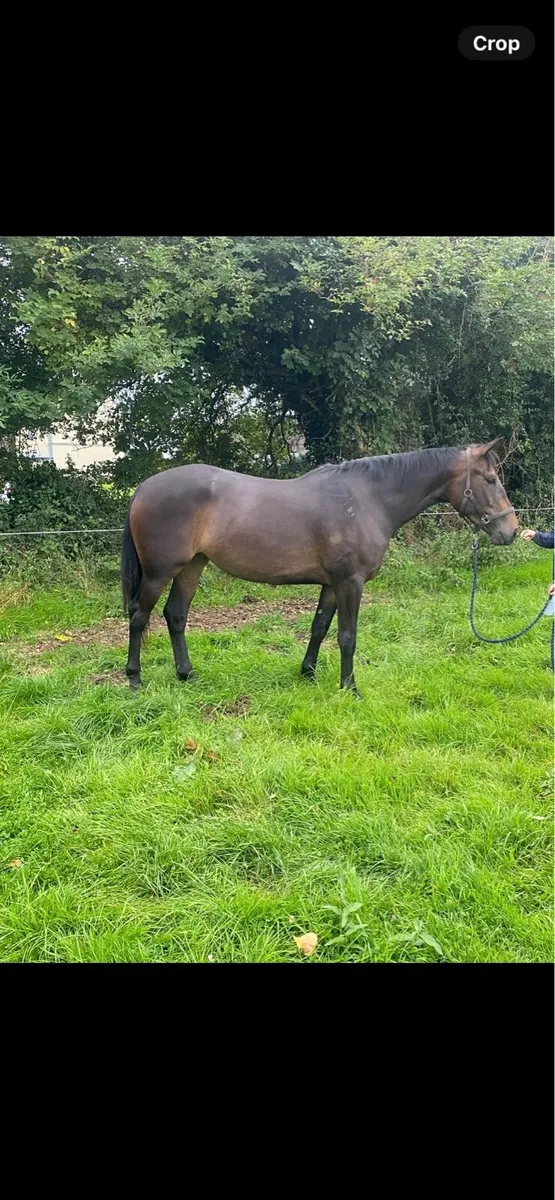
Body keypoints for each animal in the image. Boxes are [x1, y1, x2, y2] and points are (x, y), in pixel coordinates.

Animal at [120, 439, 518, 695]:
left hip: (192, 566)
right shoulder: (351, 582)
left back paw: (186, 674)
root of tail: (142, 489)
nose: (511, 530)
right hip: (159, 572)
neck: (368, 499)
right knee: (139, 616)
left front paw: (308, 673)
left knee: (175, 615)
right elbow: (347, 636)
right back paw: (135, 679)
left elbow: (319, 628)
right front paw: (350, 688)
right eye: (491, 479)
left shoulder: (331, 584)